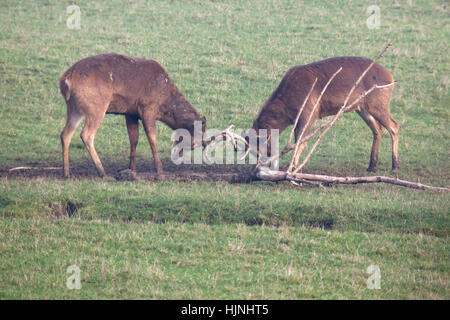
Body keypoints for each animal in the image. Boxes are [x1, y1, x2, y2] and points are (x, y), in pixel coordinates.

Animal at [59, 52, 207, 178]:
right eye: (193, 143)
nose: (176, 155)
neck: (164, 101)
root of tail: (65, 80)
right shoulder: (147, 108)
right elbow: (152, 138)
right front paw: (160, 170)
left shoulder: (130, 112)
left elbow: (134, 138)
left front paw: (131, 169)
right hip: (96, 106)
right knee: (86, 134)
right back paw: (102, 172)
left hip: (74, 108)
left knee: (65, 134)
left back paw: (67, 173)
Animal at [248, 57, 400, 172]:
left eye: (258, 149)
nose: (258, 168)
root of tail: (391, 78)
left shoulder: (309, 113)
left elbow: (300, 140)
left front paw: (291, 167)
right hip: (362, 107)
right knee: (378, 129)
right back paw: (371, 166)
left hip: (378, 104)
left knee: (394, 125)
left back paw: (395, 165)